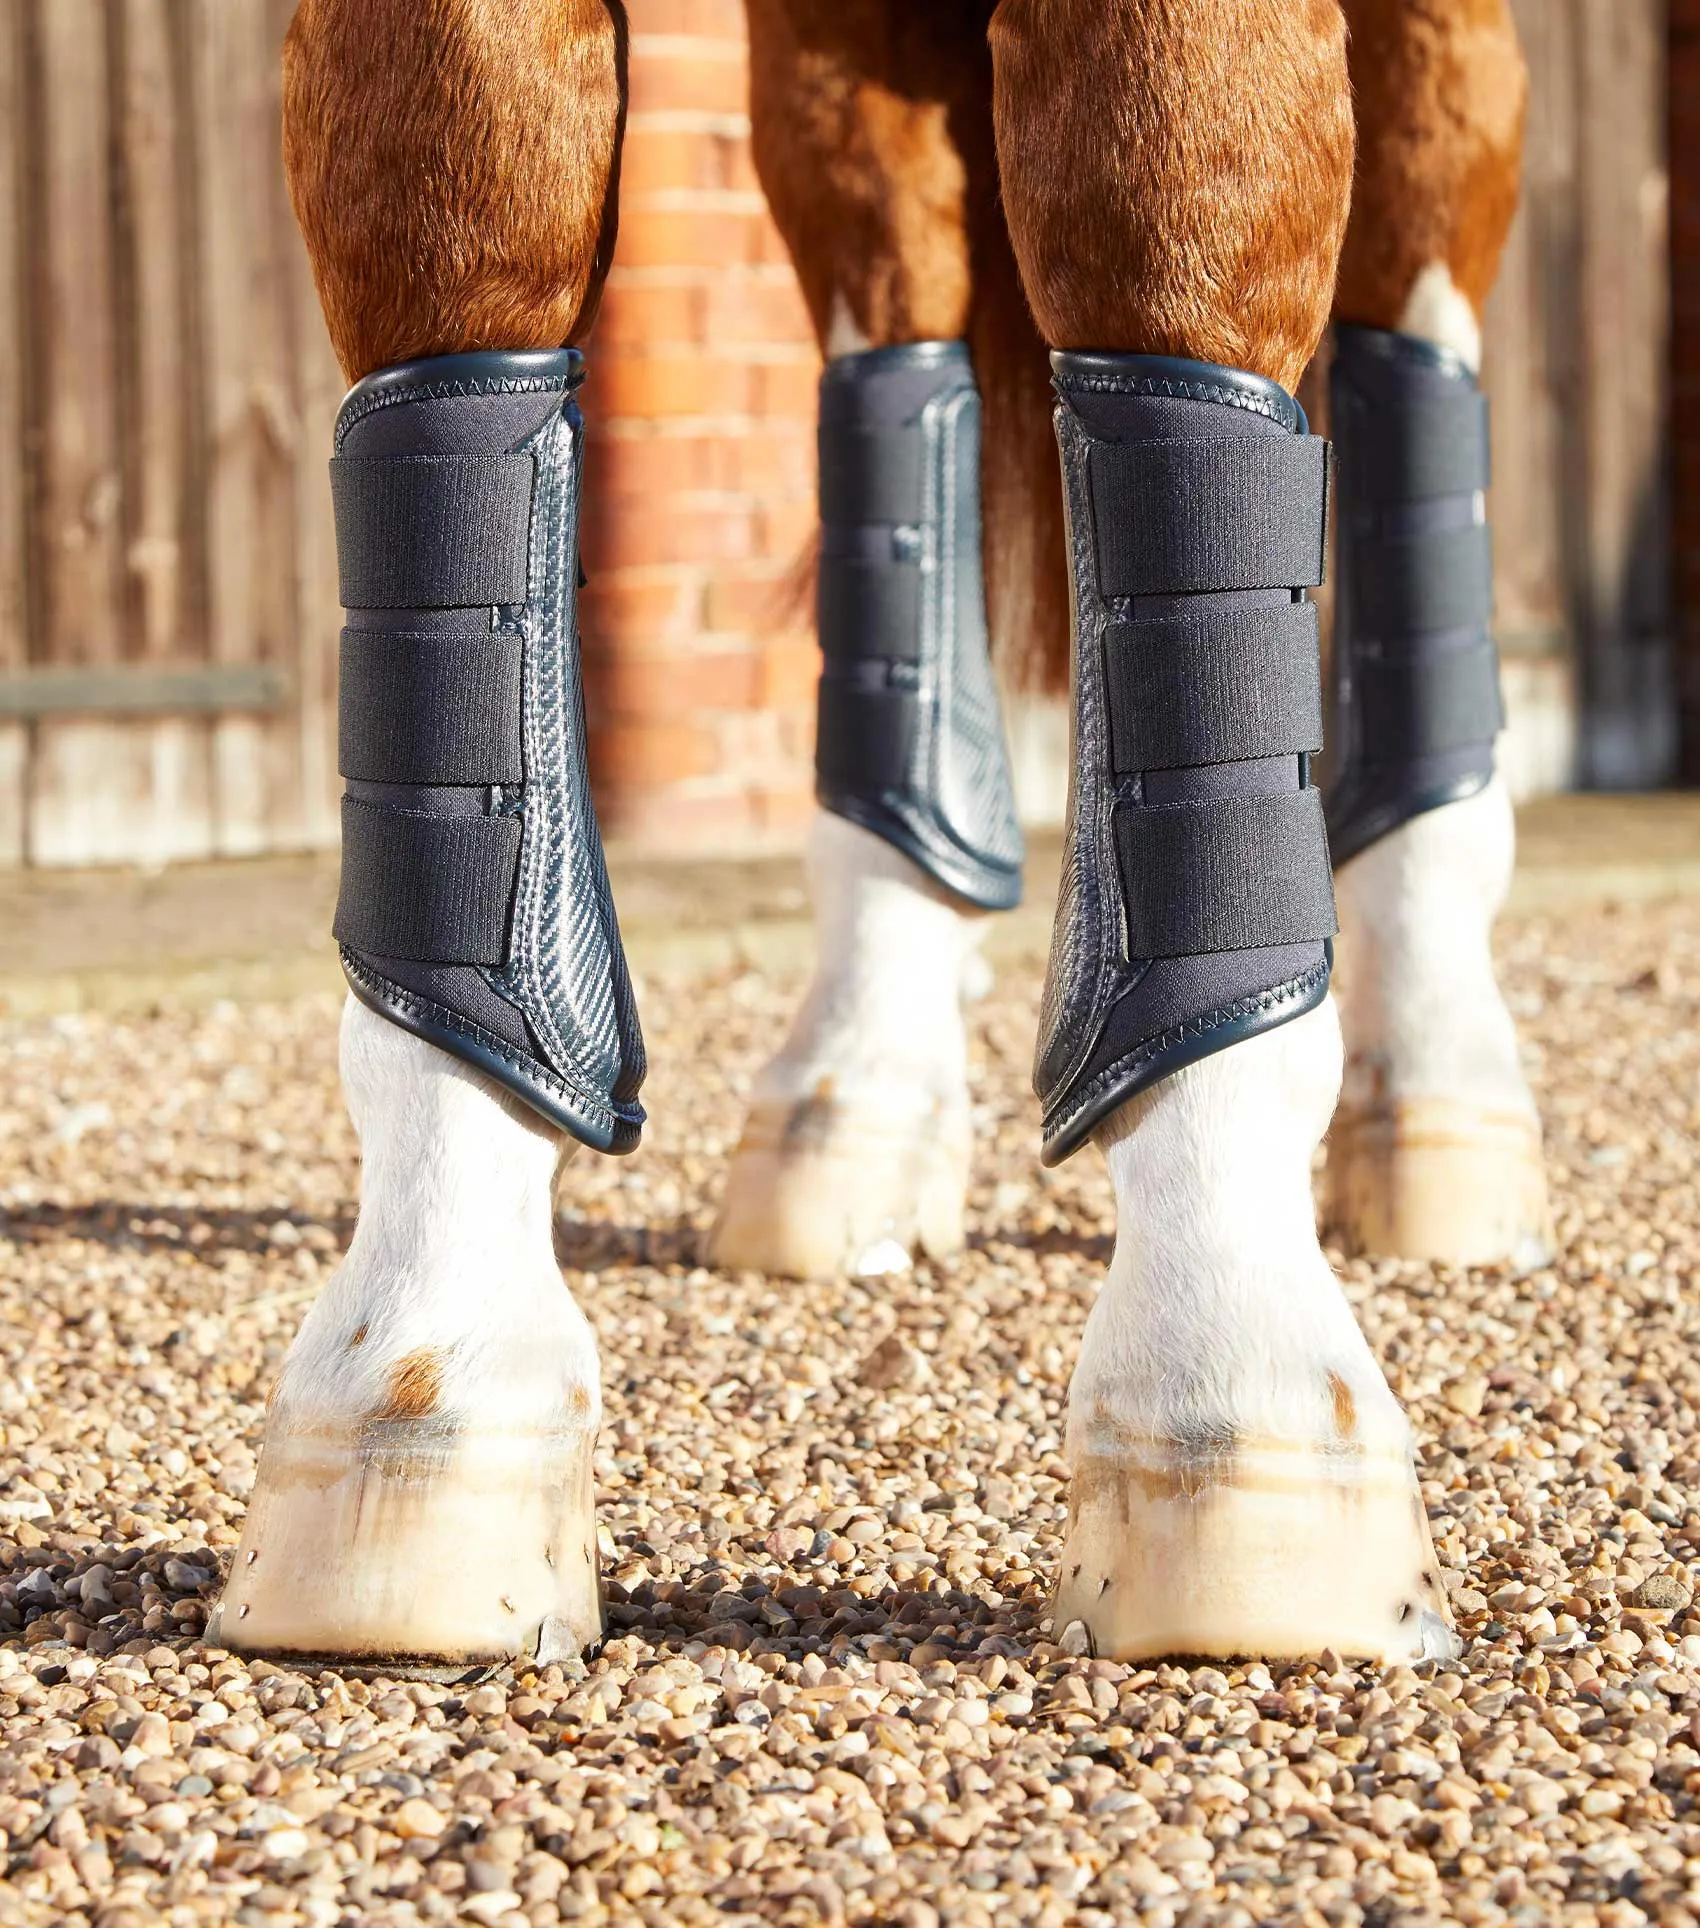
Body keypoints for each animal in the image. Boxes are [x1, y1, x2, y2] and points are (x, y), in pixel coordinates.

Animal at [198, 0, 1534, 1665]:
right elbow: (458, 243)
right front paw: (417, 1395)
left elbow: (1174, 239)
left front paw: (1239, 1410)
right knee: (906, 361)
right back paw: (852, 1105)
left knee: (1419, 299)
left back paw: (1445, 1106)